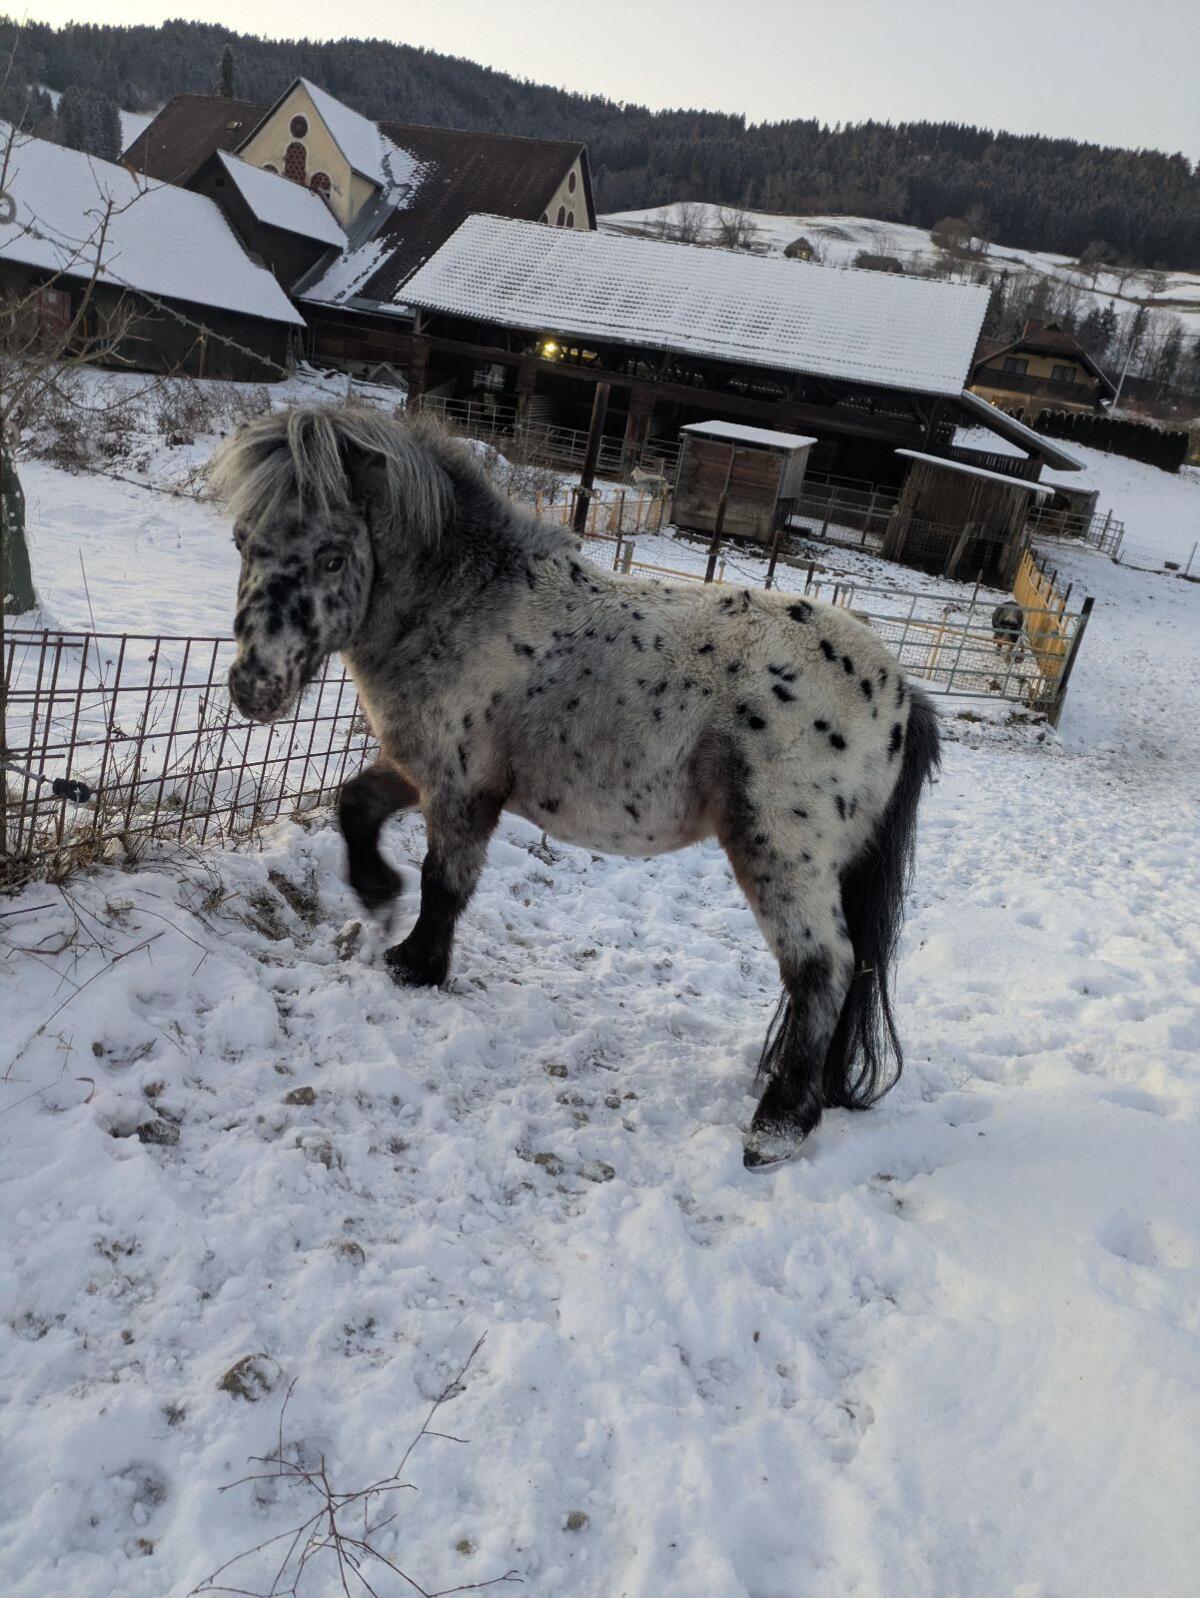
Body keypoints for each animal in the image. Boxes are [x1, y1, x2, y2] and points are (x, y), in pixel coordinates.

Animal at [210, 407, 941, 1169]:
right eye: (242, 542)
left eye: (331, 557)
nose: (253, 687)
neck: (466, 607)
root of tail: (901, 693)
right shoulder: (423, 767)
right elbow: (355, 807)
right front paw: (379, 896)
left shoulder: (463, 787)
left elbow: (445, 882)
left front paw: (415, 965)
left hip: (780, 853)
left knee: (823, 970)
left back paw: (778, 1124)